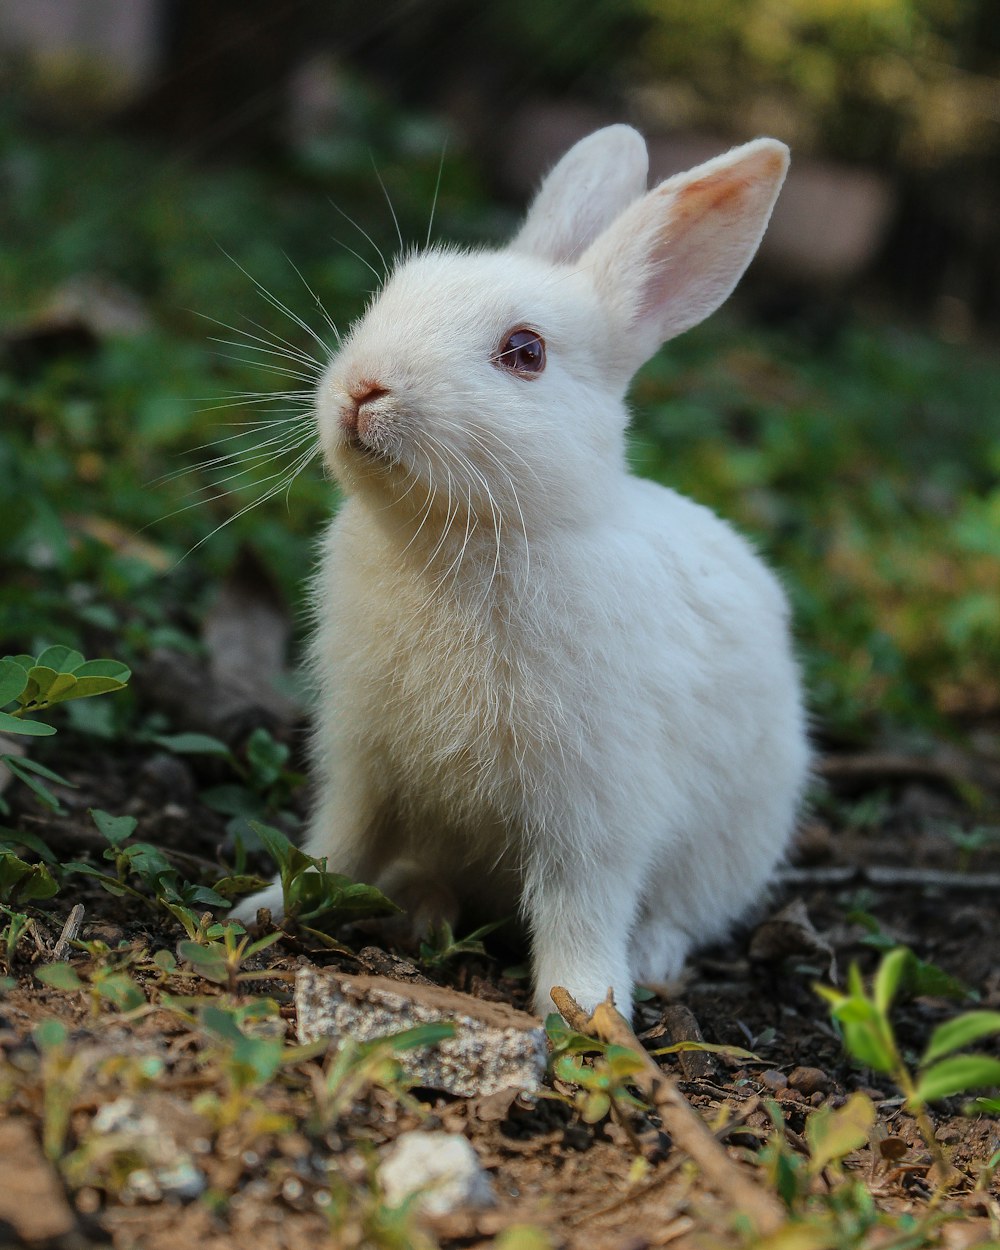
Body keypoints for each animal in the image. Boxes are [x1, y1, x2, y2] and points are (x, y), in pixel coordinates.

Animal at [232, 125, 810, 1018]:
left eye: (525, 352)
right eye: (392, 293)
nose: (363, 389)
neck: (463, 536)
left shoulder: (594, 809)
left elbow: (581, 906)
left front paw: (586, 1009)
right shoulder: (362, 762)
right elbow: (336, 844)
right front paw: (265, 908)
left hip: (734, 842)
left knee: (680, 912)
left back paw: (651, 959)